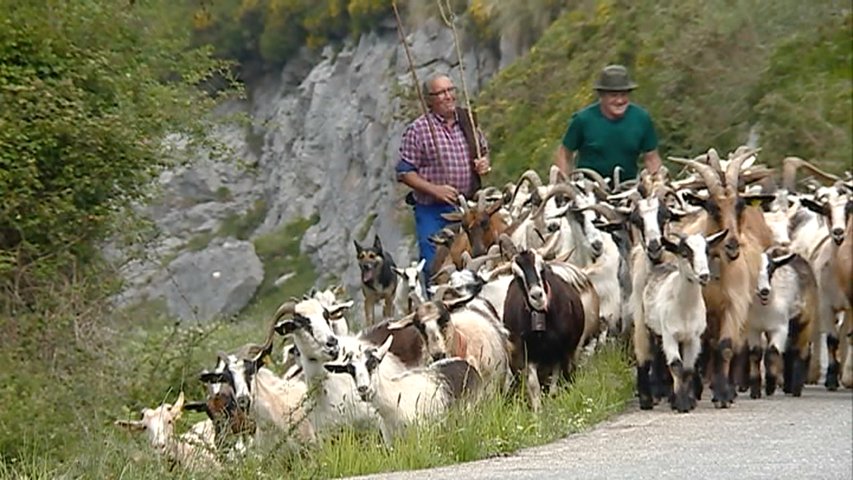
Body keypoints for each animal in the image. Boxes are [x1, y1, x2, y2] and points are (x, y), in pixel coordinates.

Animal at [322, 336, 480, 448]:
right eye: (350, 370)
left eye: (373, 363)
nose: (363, 389)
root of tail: (467, 364)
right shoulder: (390, 442)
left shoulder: (420, 434)